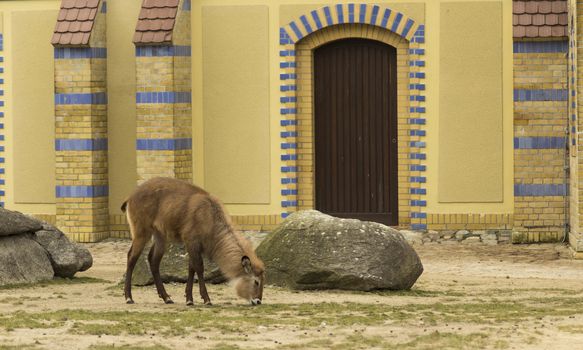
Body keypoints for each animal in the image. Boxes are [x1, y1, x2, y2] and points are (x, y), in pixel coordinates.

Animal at [122, 176, 266, 304]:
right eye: (256, 281)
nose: (258, 301)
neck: (209, 215)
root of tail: (130, 197)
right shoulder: (191, 241)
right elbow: (199, 267)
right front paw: (206, 299)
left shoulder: (196, 246)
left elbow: (191, 268)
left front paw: (189, 299)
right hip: (141, 233)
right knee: (131, 257)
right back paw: (129, 298)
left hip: (160, 236)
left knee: (153, 260)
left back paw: (167, 298)